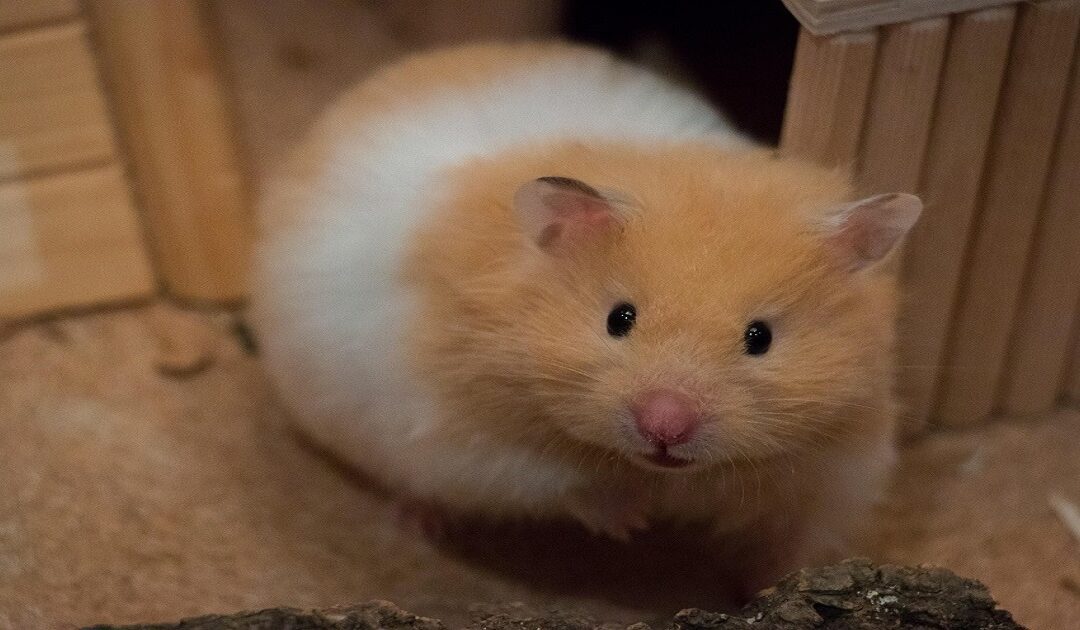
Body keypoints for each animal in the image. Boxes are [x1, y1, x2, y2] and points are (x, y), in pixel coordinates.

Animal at [248, 42, 922, 595]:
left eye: (761, 337)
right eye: (618, 319)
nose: (665, 425)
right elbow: (560, 482)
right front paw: (634, 523)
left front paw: (769, 585)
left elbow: (794, 542)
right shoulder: (467, 443)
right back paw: (421, 523)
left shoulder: (836, 469)